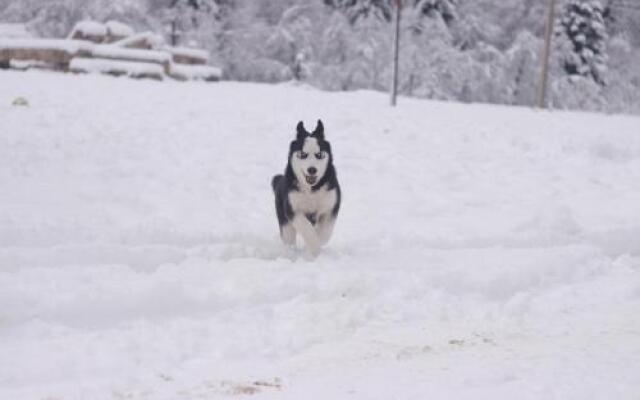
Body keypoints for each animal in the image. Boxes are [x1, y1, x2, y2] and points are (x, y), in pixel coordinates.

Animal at [270, 119, 340, 253]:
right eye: (303, 154)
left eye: (319, 155)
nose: (312, 169)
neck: (312, 190)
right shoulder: (292, 209)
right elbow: (306, 228)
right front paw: (314, 247)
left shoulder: (331, 207)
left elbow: (325, 232)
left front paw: (318, 243)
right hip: (285, 223)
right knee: (288, 238)